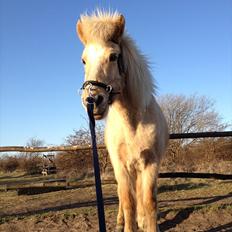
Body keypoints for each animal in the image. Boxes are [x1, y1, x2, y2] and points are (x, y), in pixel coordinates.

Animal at [76, 10, 169, 231]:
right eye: (83, 60)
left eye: (113, 56)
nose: (92, 100)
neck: (132, 124)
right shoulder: (120, 166)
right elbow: (128, 201)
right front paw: (127, 224)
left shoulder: (151, 164)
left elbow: (149, 201)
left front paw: (147, 223)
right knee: (123, 194)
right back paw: (121, 221)